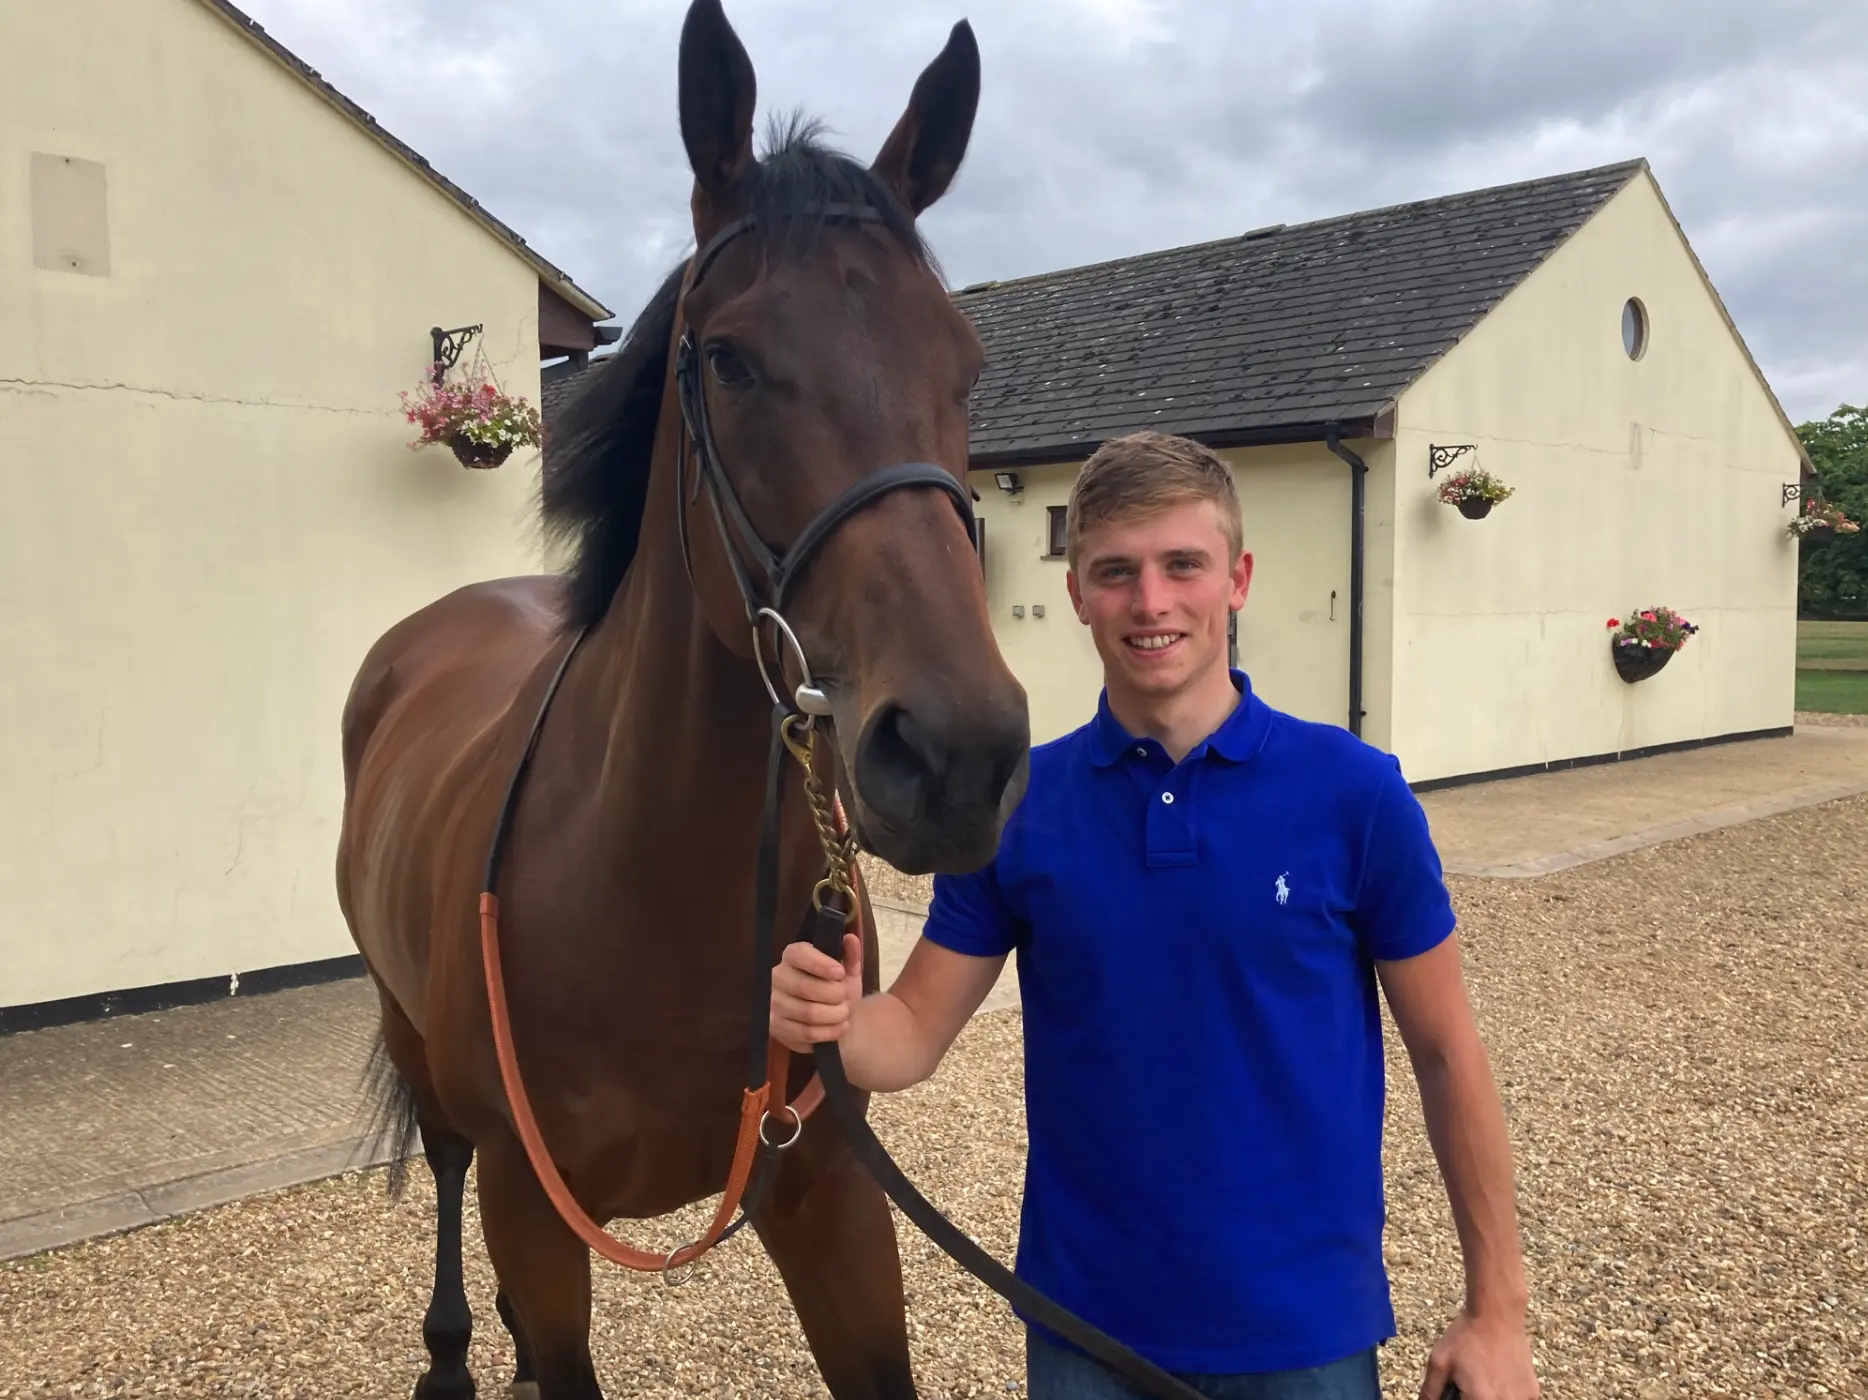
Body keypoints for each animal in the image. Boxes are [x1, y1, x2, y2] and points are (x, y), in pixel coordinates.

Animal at [334, 3, 1031, 1396]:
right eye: (729, 360)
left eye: (966, 366)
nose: (957, 755)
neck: (647, 891)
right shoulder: (536, 1211)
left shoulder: (830, 1197)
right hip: (414, 1045)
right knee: (442, 1166)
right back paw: (449, 1353)